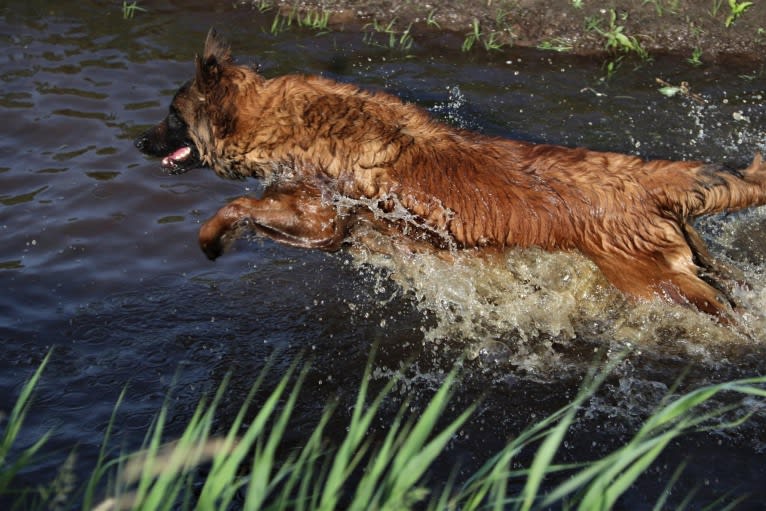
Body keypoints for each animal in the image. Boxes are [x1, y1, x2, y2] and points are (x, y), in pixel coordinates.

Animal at [135, 30, 766, 320]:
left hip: (661, 285)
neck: (281, 120)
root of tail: (642, 176)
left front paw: (211, 239)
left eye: (172, 114)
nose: (138, 142)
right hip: (694, 263)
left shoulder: (320, 218)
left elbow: (241, 208)